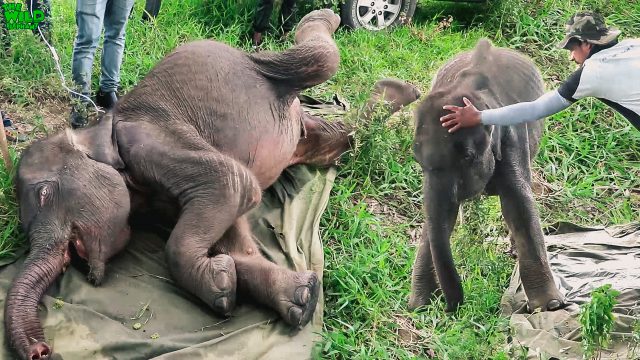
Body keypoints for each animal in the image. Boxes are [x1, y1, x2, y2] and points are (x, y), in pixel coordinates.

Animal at [3, 9, 350, 360]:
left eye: (45, 194)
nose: (41, 350)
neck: (96, 128)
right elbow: (236, 237)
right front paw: (295, 297)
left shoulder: (148, 141)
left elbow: (232, 183)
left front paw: (221, 288)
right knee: (317, 136)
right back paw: (346, 138)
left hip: (263, 65)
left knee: (321, 60)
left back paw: (324, 18)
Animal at [410, 39, 564, 314]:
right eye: (417, 161)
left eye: (467, 157)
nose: (451, 307)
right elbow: (440, 216)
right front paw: (419, 306)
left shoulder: (512, 138)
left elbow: (518, 203)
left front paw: (550, 306)